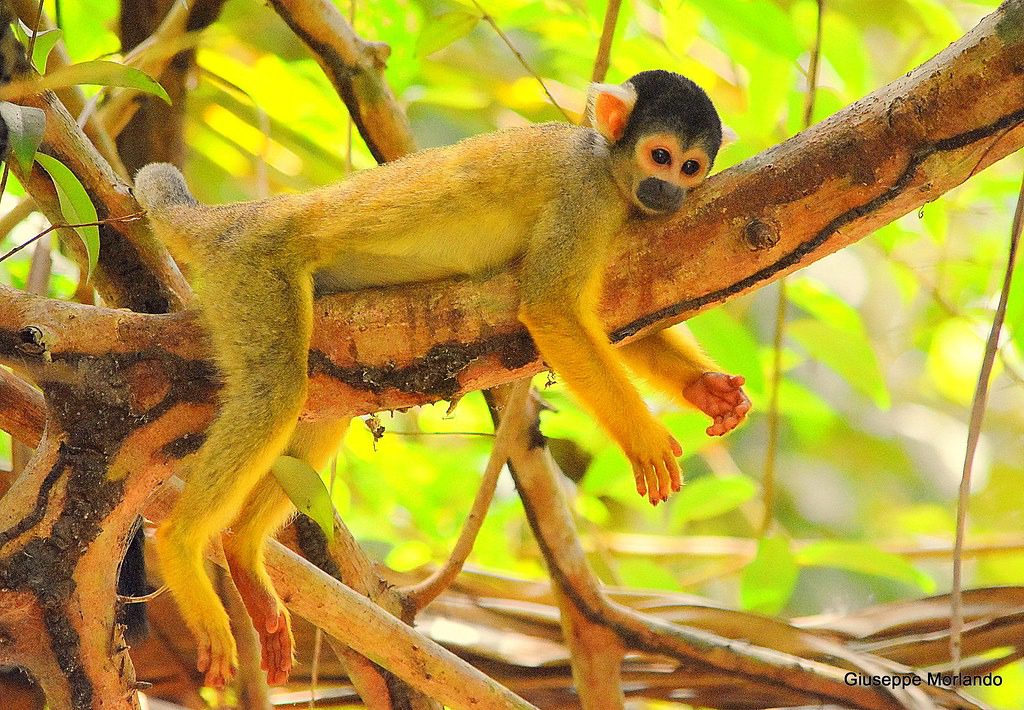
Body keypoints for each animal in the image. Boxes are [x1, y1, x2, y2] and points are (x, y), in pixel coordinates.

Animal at [133, 69, 750, 689]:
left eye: (691, 167)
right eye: (660, 156)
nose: (669, 192)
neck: (609, 166)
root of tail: (246, 215)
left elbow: (614, 313)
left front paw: (705, 390)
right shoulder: (585, 197)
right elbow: (552, 308)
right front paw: (643, 438)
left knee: (320, 398)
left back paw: (241, 551)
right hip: (254, 268)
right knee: (276, 386)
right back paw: (183, 545)